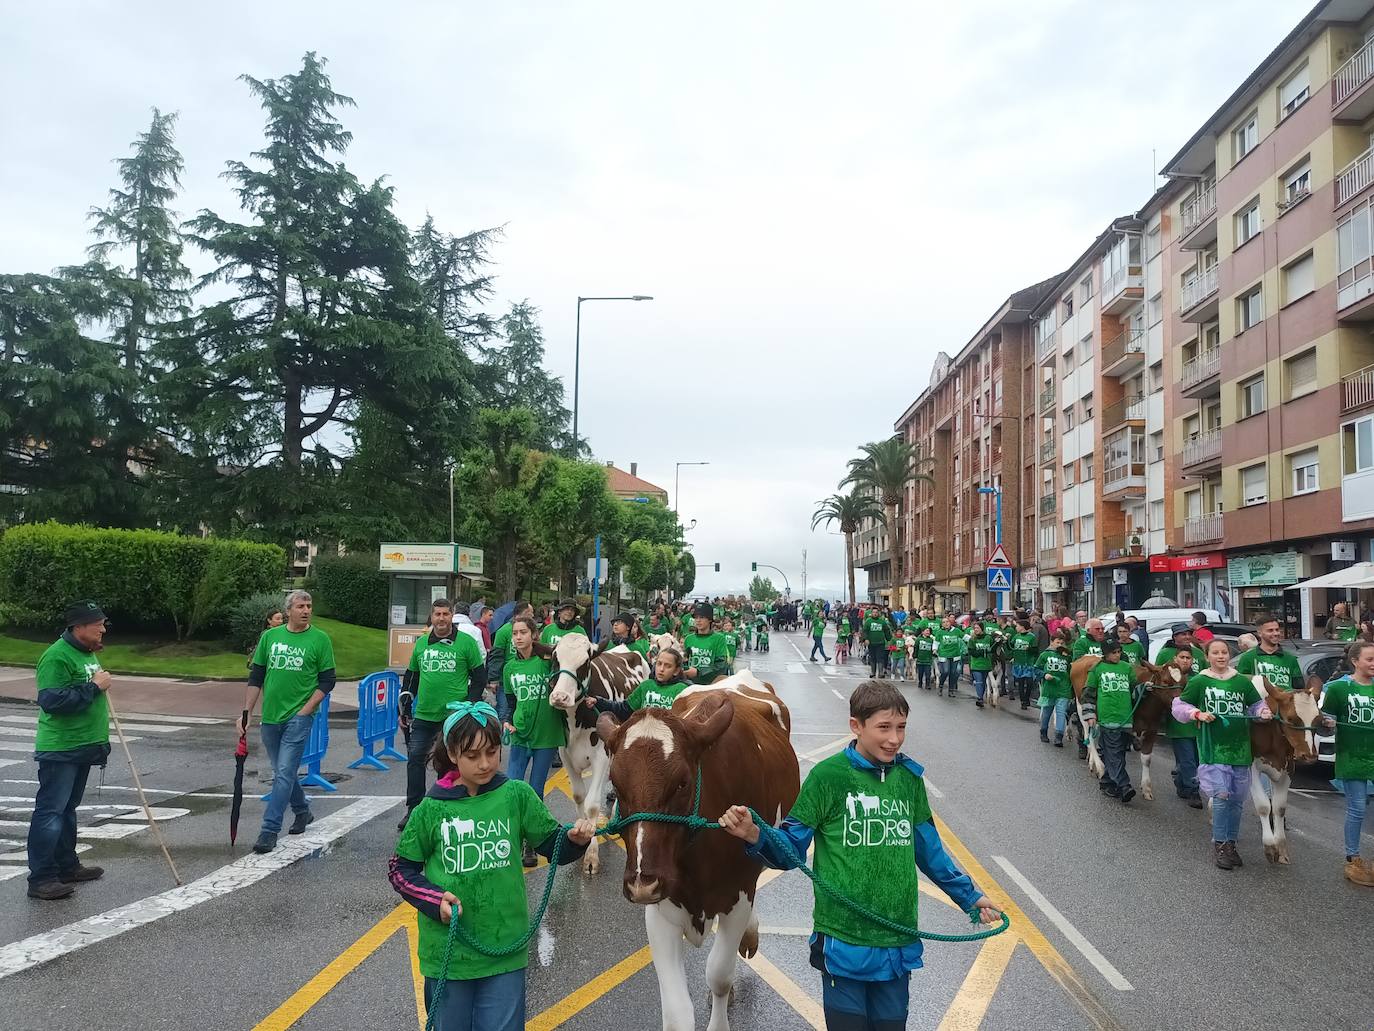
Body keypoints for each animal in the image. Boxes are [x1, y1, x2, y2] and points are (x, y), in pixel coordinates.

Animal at [544, 637, 651, 874]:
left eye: (585, 663)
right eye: (555, 659)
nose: (560, 697)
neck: (576, 721)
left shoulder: (602, 755)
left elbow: (592, 804)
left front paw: (591, 855)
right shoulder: (565, 754)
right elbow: (579, 797)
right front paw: (582, 838)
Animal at [596, 670, 802, 1031]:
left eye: (681, 782)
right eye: (617, 786)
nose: (641, 882)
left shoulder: (737, 896)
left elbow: (719, 975)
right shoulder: (660, 908)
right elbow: (677, 1011)